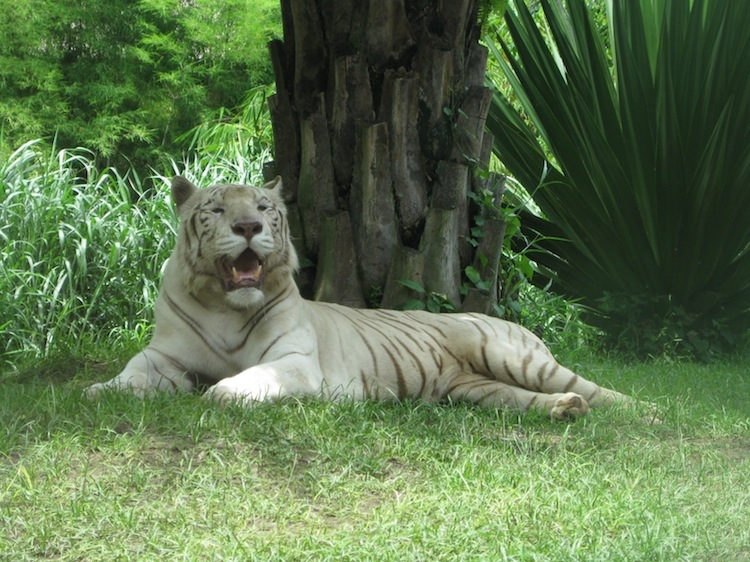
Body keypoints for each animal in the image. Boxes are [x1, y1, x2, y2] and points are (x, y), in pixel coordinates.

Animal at [85, 177, 632, 418]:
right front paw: (101, 389)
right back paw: (564, 409)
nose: (248, 227)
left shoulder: (295, 362)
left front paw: (221, 391)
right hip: (472, 387)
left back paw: (637, 411)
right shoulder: (162, 356)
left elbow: (249, 377)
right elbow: (128, 376)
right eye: (217, 209)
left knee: (600, 390)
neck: (225, 304)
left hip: (508, 354)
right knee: (529, 398)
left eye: (262, 206)